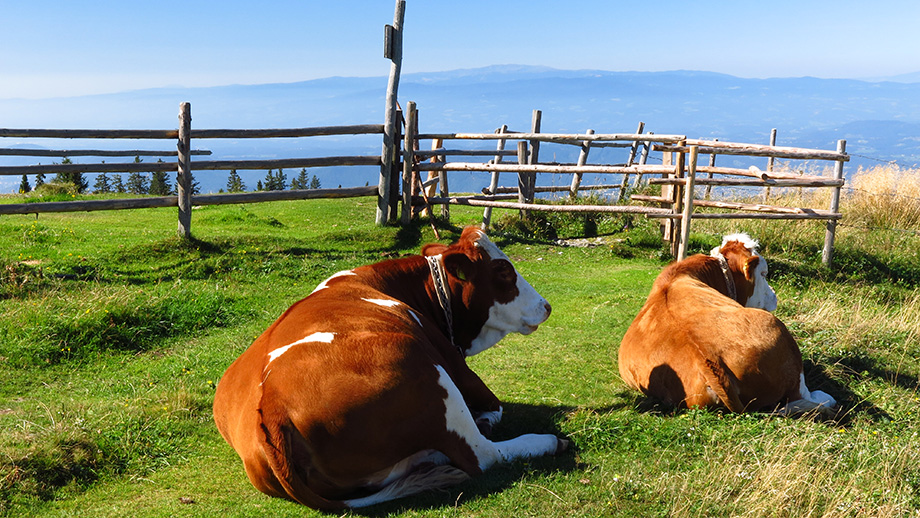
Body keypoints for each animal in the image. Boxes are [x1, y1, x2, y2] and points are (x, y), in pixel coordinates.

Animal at [214, 228, 568, 512]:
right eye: (503, 271)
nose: (547, 306)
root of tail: (271, 406)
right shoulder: (452, 360)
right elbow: (494, 406)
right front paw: (489, 418)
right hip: (426, 370)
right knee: (482, 455)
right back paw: (546, 441)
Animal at [616, 234, 836, 416]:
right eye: (764, 274)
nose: (774, 296)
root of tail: (707, 358)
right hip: (780, 333)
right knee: (805, 397)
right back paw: (827, 398)